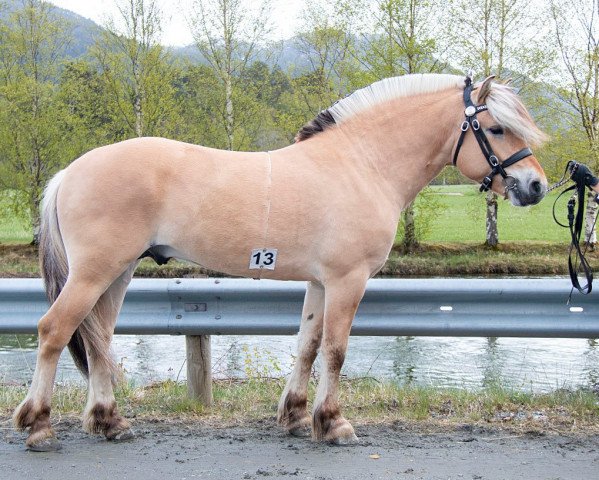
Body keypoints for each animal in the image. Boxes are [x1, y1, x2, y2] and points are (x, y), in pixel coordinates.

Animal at [12, 72, 548, 450]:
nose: (536, 186)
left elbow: (307, 345)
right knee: (55, 331)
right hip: (94, 272)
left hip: (117, 273)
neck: (362, 165)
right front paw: (333, 423)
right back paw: (38, 426)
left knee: (96, 335)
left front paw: (294, 415)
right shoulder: (348, 280)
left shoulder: (321, 282)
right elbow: (335, 350)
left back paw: (109, 421)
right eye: (497, 127)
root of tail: (69, 171)